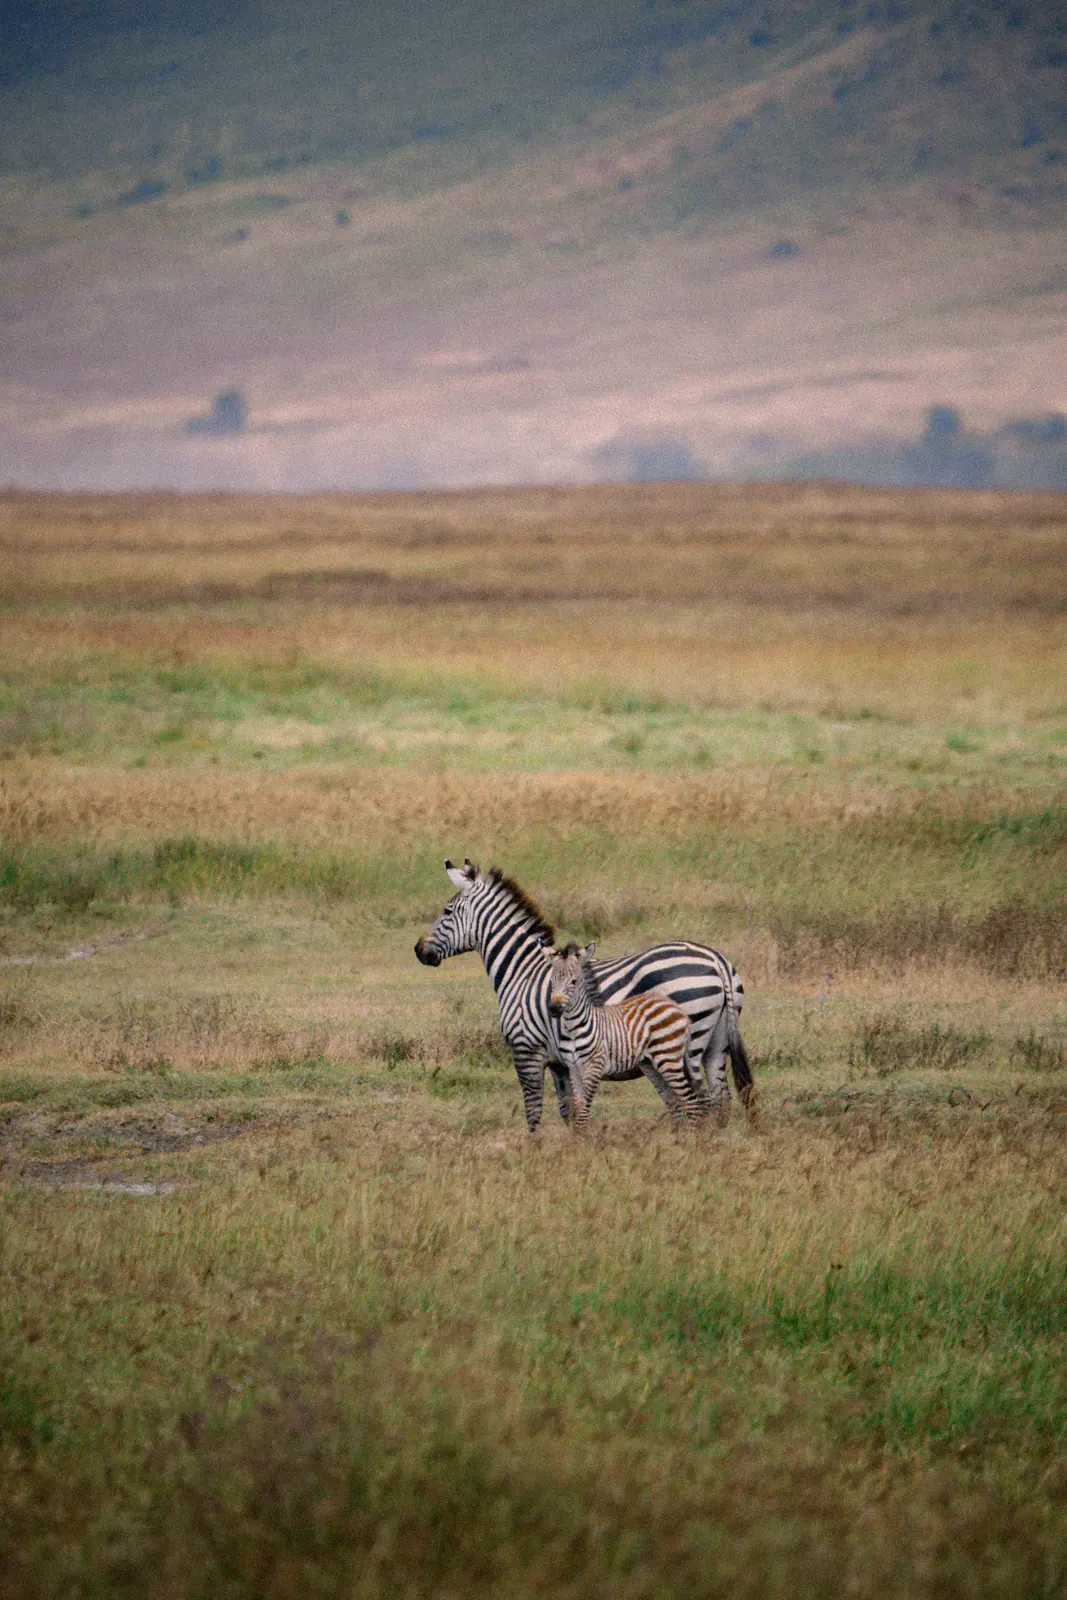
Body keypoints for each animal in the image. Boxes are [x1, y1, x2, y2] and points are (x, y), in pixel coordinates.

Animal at [548, 942, 703, 1129]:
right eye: (551, 981)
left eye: (574, 981)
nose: (553, 1009)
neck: (574, 1028)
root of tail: (676, 1008)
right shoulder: (574, 1069)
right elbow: (578, 1107)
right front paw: (578, 1136)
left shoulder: (594, 1066)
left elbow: (584, 1110)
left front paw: (583, 1136)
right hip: (651, 1064)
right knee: (675, 1100)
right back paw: (676, 1135)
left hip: (668, 1058)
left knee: (690, 1098)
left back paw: (691, 1134)